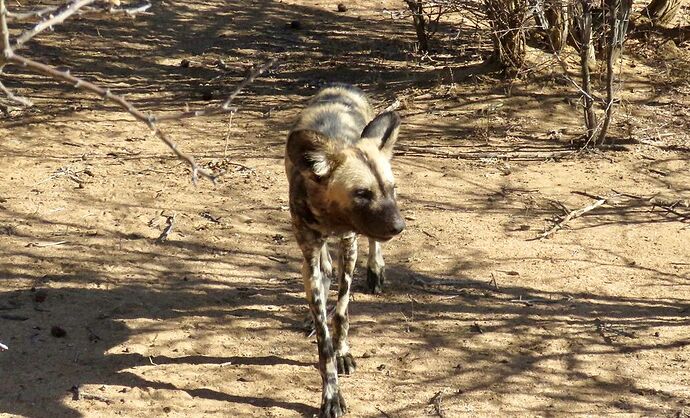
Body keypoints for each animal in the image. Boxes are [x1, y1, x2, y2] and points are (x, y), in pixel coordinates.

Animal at [284, 83, 404, 416]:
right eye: (362, 193)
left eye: (391, 190)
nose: (399, 226)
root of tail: (341, 87)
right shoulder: (310, 254)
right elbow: (324, 339)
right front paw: (331, 394)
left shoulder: (349, 244)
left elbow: (341, 313)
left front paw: (342, 353)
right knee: (325, 271)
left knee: (371, 244)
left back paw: (376, 271)